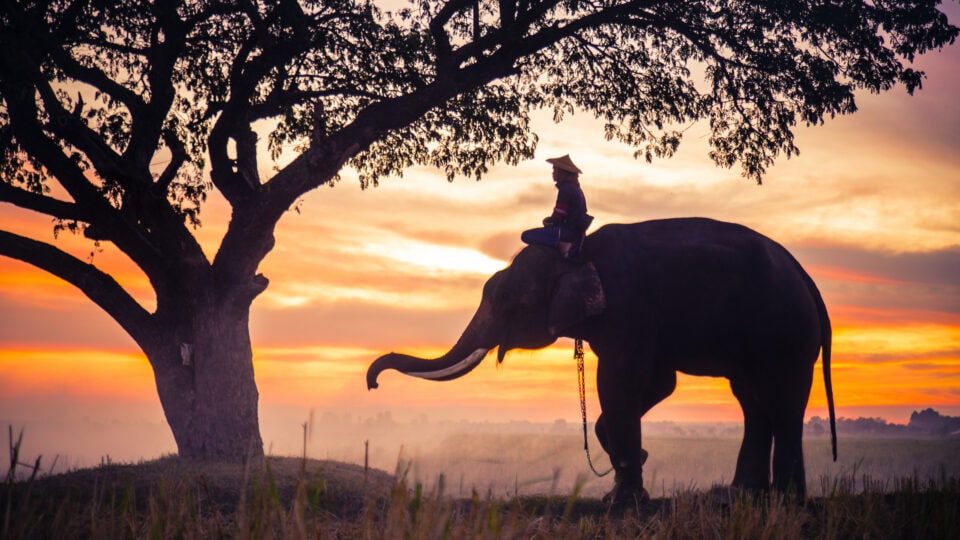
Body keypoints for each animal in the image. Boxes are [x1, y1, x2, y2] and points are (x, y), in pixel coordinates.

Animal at [367, 217, 837, 503]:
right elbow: (656, 382)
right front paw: (632, 466)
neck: (576, 250)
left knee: (782, 402)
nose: (372, 382)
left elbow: (619, 380)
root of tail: (807, 278)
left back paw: (784, 500)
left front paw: (622, 498)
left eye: (508, 301)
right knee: (753, 401)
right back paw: (742, 495)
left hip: (786, 333)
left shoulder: (628, 308)